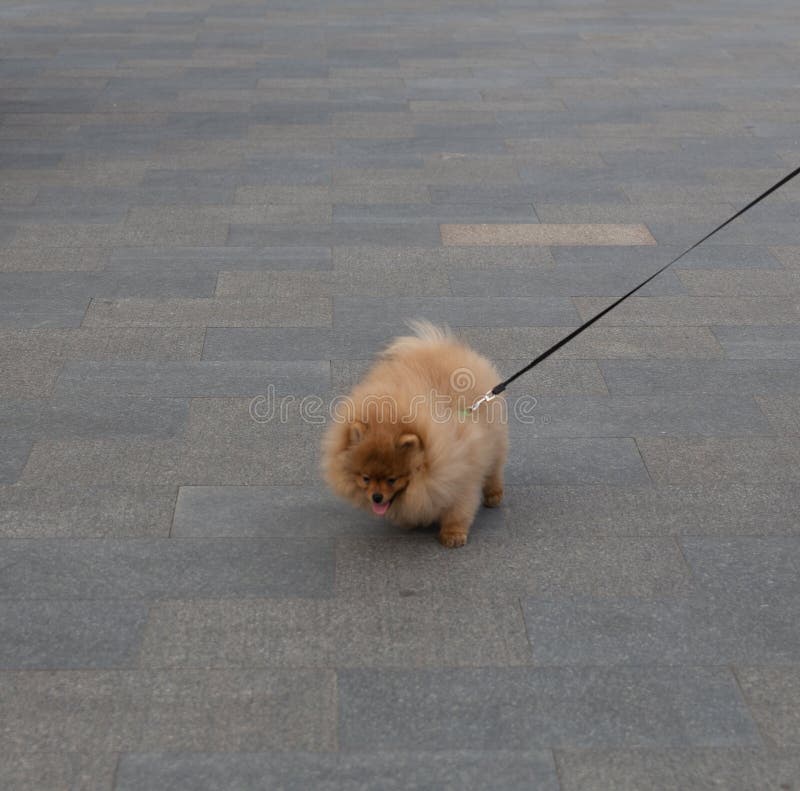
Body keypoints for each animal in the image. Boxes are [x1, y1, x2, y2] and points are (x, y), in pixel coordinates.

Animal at [320, 318, 504, 548]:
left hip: (494, 437)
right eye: (365, 478)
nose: (377, 497)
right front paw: (409, 520)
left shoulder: (463, 472)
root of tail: (436, 346)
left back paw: (493, 494)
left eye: (392, 479)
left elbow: (459, 509)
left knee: (494, 468)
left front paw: (453, 534)